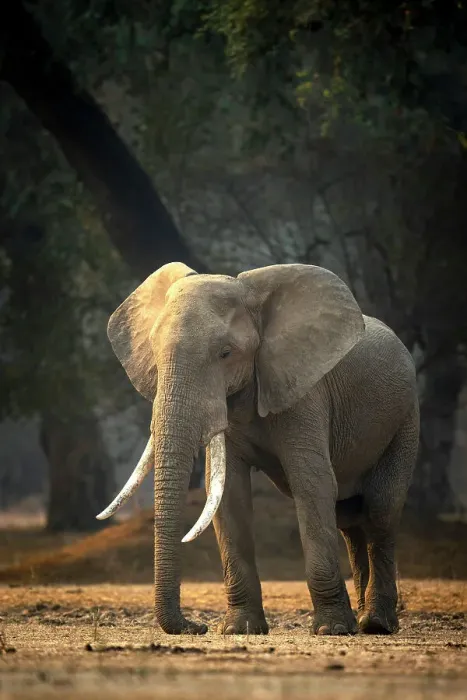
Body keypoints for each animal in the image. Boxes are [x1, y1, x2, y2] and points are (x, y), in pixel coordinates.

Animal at [97, 262, 419, 637]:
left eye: (225, 353)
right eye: (155, 351)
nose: (197, 627)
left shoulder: (304, 392)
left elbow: (312, 483)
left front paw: (331, 629)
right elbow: (229, 494)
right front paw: (240, 629)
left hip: (405, 418)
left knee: (380, 511)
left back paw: (375, 624)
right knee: (349, 520)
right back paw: (364, 619)